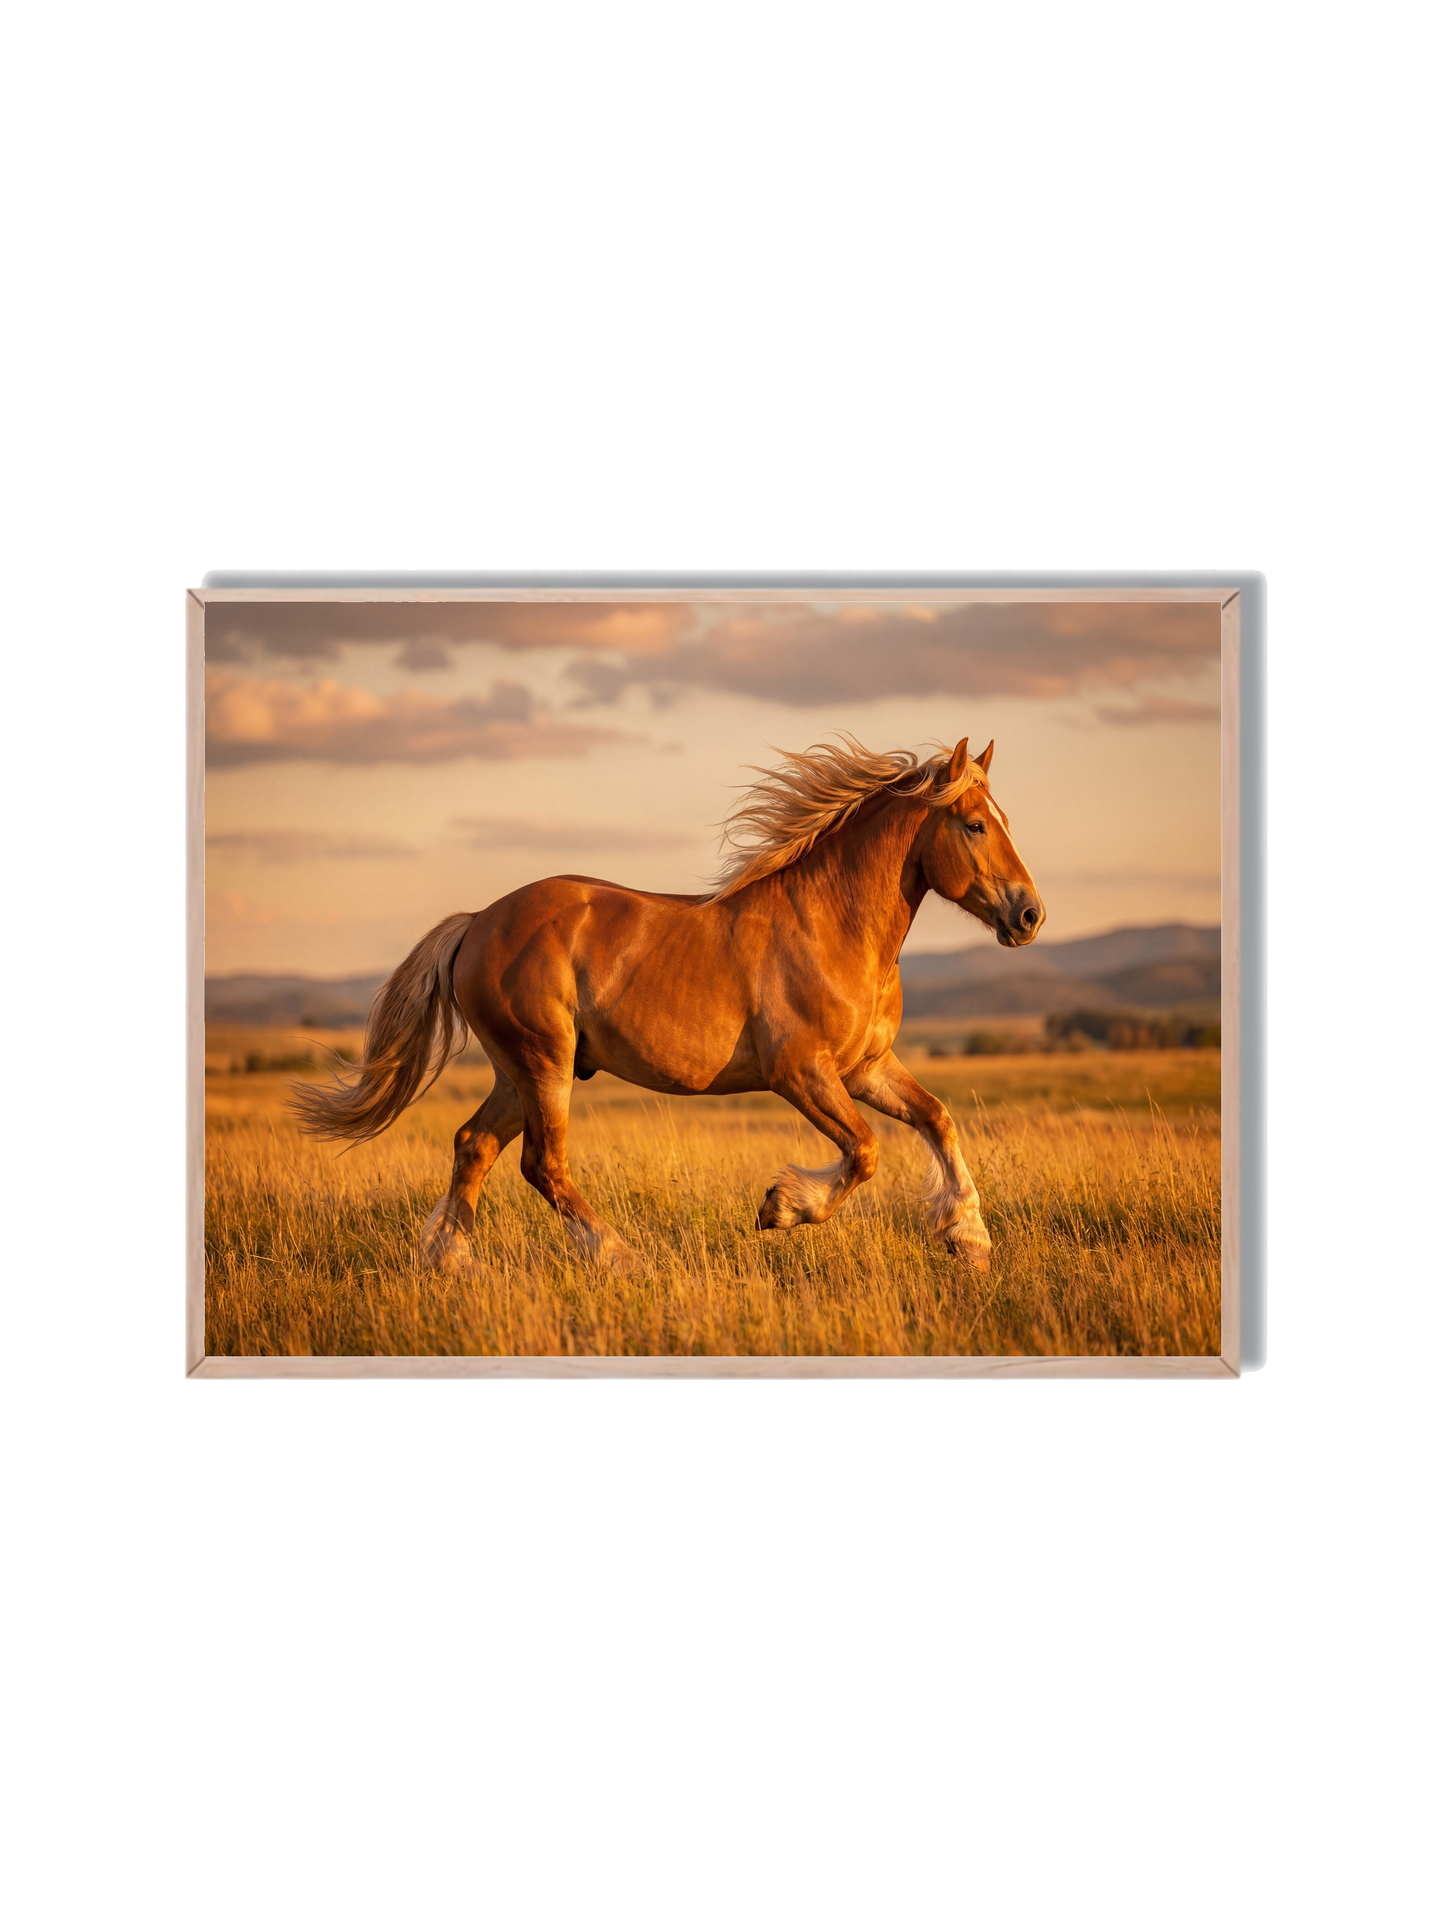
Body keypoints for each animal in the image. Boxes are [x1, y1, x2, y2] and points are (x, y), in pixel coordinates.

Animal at [291, 734, 1045, 1274]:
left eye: (1005, 819)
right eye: (974, 825)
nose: (1029, 915)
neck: (832, 927)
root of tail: (477, 922)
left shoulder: (866, 1068)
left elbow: (937, 1120)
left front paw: (969, 1240)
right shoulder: (801, 1072)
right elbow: (863, 1151)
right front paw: (780, 1207)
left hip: (517, 1071)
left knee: (473, 1145)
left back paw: (450, 1262)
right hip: (544, 1062)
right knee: (543, 1164)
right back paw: (619, 1258)